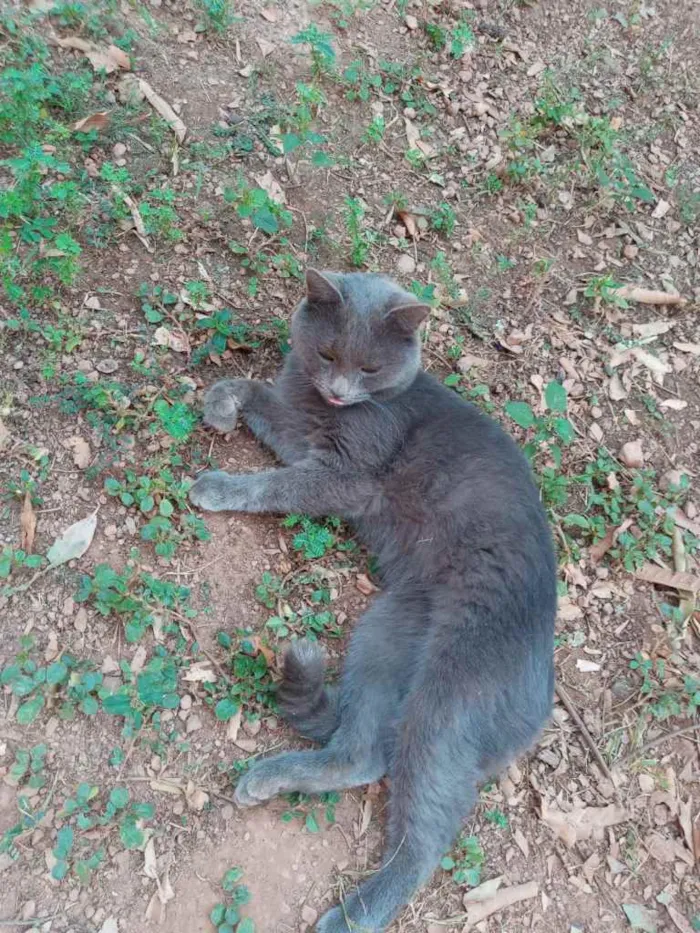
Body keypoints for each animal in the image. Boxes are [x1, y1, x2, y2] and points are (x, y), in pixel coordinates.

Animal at [189, 272, 556, 932]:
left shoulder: (344, 475)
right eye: (328, 354)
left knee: (425, 835)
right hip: (385, 633)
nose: (338, 393)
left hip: (448, 703)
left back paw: (353, 914)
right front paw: (223, 400)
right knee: (361, 756)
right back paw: (270, 779)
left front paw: (219, 485)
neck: (322, 406)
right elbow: (257, 393)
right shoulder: (299, 430)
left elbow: (276, 486)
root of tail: (542, 701)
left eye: (370, 367)